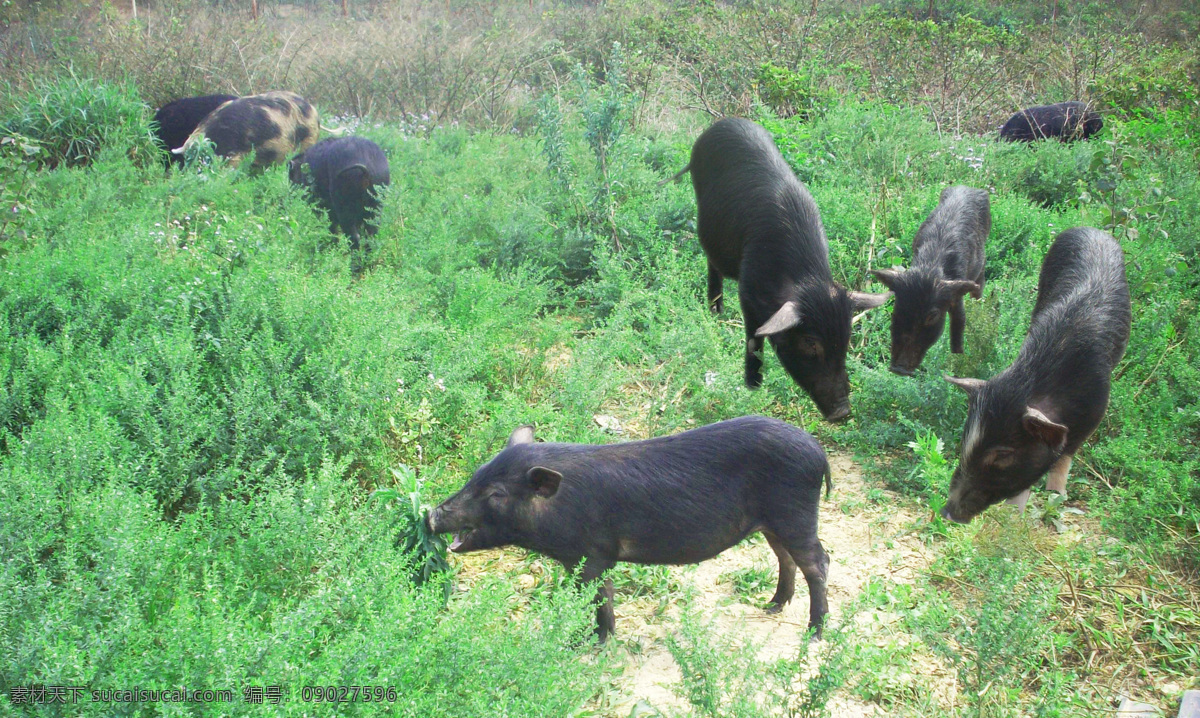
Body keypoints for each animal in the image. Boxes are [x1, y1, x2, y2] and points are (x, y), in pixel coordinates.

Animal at [427, 415, 830, 648]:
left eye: (496, 494)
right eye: (475, 475)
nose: (432, 515)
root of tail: (818, 450)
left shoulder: (593, 554)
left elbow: (600, 598)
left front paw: (595, 644)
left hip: (795, 514)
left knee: (819, 562)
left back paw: (813, 634)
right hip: (773, 522)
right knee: (786, 557)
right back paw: (772, 605)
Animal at [676, 117, 892, 422]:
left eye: (846, 338)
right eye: (810, 342)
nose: (843, 412)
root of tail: (722, 123)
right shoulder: (747, 288)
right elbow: (754, 337)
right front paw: (753, 386)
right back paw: (716, 312)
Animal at [868, 186, 988, 377]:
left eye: (932, 316)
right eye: (899, 308)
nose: (898, 369)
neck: (929, 270)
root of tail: (969, 187)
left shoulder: (955, 295)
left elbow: (959, 323)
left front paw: (958, 360)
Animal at [940, 228, 1128, 525]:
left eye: (1003, 454)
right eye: (965, 438)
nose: (946, 512)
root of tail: (1091, 229)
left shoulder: (1096, 409)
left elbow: (1065, 457)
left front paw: (1056, 496)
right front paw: (1013, 514)